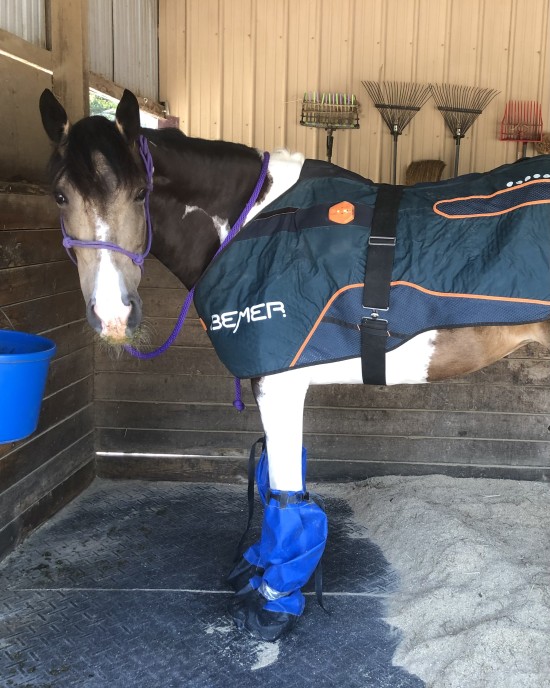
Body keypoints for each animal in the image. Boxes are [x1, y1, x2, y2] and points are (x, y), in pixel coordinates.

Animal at [39, 88, 550, 642]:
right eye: (61, 196)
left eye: (139, 195)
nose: (114, 316)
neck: (252, 221)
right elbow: (274, 479)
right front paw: (258, 570)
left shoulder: (279, 386)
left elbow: (285, 493)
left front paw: (274, 602)